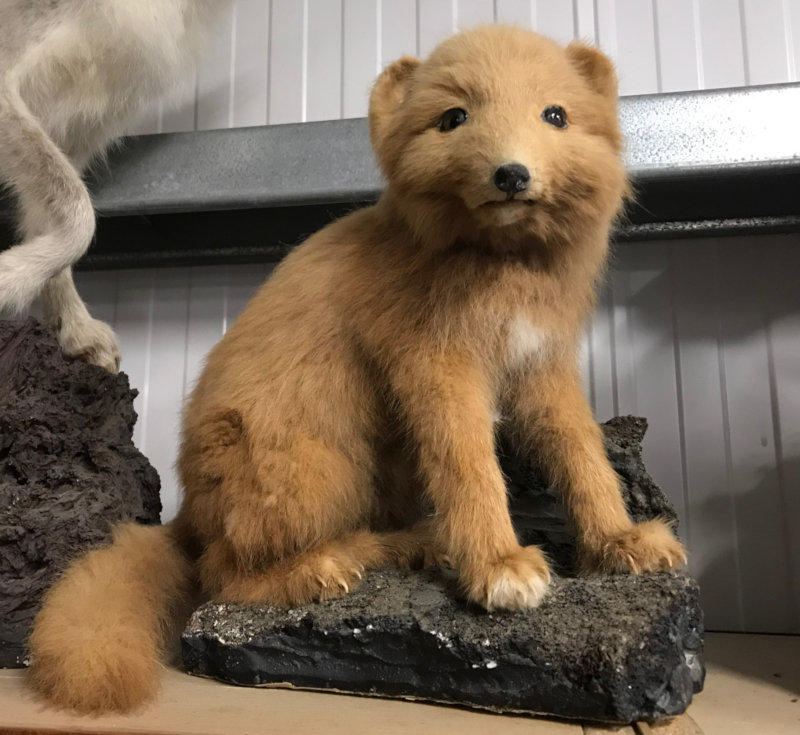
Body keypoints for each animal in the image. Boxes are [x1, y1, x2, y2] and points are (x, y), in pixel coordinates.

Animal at [29, 25, 687, 714]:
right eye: (454, 118)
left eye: (554, 115)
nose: (511, 172)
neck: (502, 273)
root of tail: (189, 512)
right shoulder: (435, 366)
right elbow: (469, 466)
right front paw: (500, 567)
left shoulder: (543, 368)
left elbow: (582, 453)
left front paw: (621, 544)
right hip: (315, 471)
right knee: (220, 574)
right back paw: (329, 566)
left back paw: (410, 546)